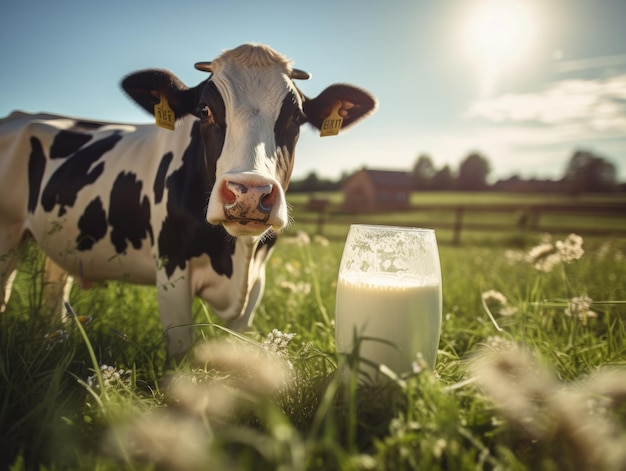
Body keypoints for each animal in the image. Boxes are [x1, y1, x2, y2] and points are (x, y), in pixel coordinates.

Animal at [0, 45, 376, 362]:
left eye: (295, 117)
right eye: (204, 110)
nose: (248, 193)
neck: (235, 257)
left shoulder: (257, 279)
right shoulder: (171, 267)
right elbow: (180, 349)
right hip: (8, 235)